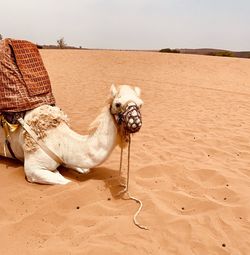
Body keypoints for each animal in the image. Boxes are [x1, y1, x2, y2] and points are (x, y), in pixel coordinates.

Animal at [0, 84, 143, 184]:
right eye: (118, 104)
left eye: (140, 104)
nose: (136, 122)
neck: (61, 141)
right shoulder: (33, 169)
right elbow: (66, 182)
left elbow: (84, 169)